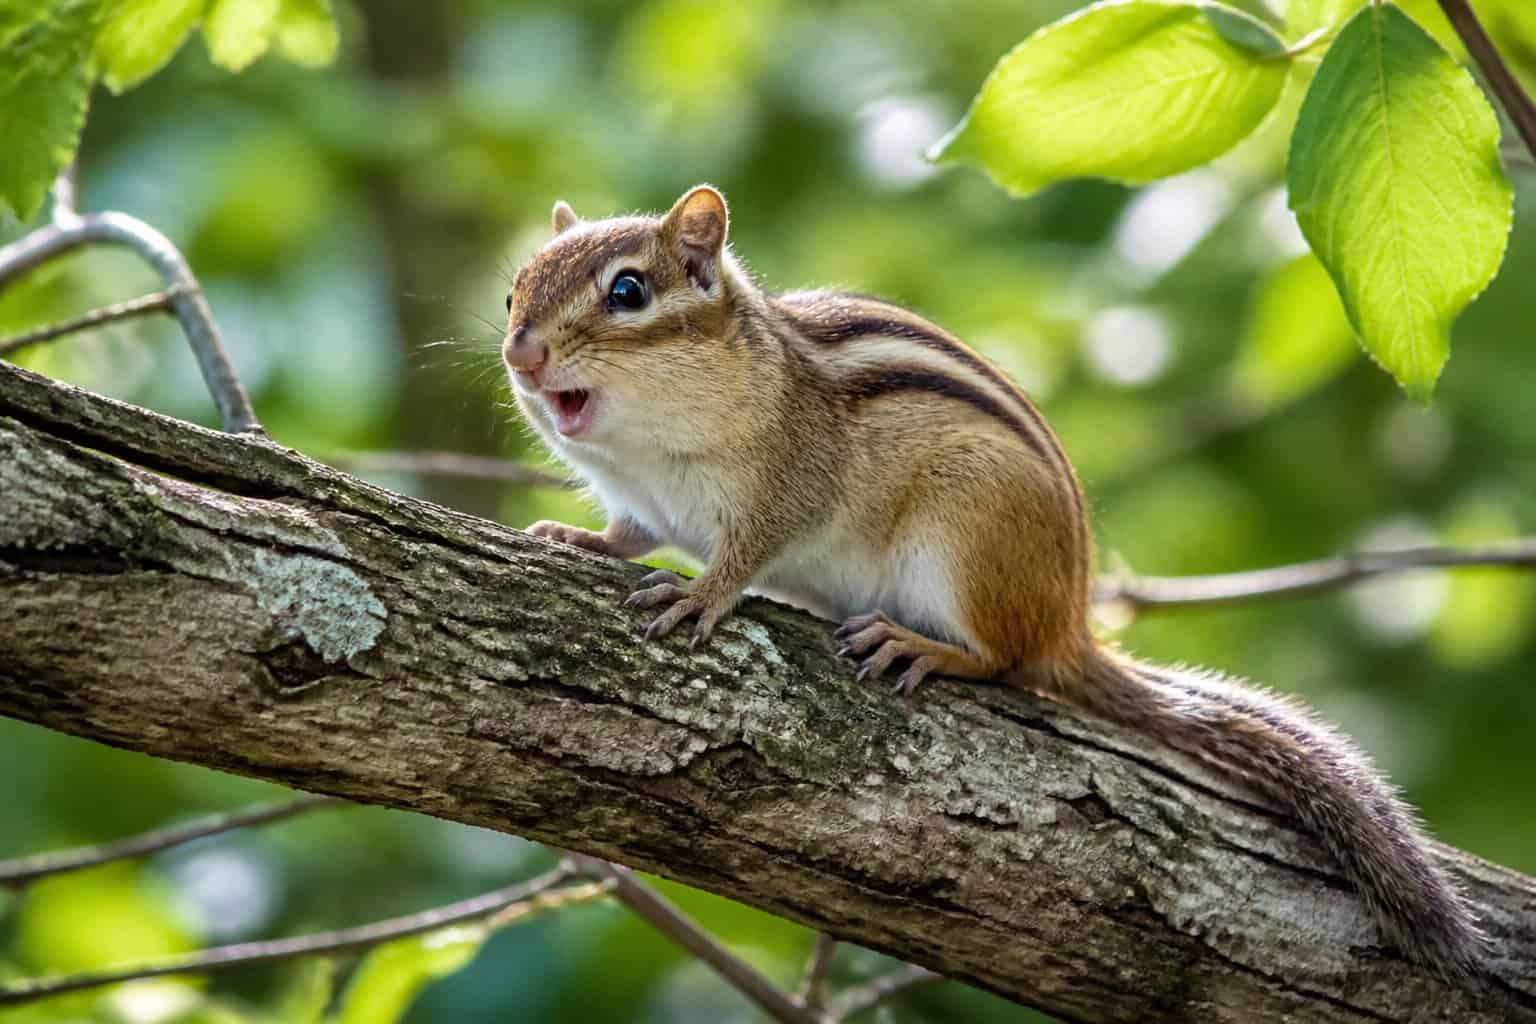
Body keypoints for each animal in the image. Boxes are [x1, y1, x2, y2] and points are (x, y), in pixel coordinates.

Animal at [500, 184, 1484, 980]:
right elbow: (628, 534)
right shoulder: (643, 502)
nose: (521, 355)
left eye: (628, 292)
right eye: (514, 288)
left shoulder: (790, 478)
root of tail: (1068, 624)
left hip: (964, 531)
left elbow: (750, 551)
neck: (649, 447)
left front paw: (702, 594)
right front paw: (575, 537)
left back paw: (922, 645)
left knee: (1007, 661)